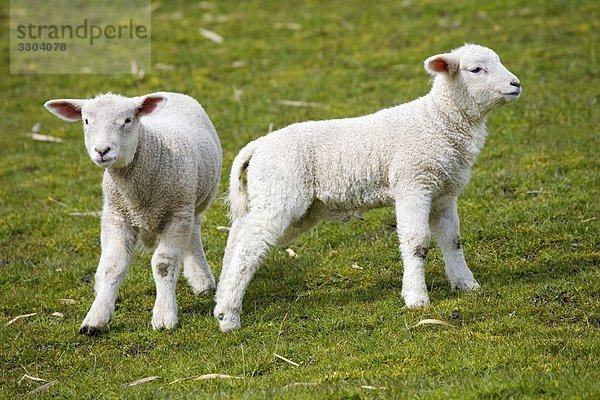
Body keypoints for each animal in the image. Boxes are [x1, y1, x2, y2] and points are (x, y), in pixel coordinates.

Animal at [44, 90, 223, 334]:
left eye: (127, 120)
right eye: (86, 121)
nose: (102, 151)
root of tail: (169, 92)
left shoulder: (177, 215)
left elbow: (163, 264)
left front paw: (164, 315)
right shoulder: (118, 217)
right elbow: (114, 265)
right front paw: (96, 317)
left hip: (196, 203)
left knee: (193, 233)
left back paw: (201, 279)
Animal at [214, 43, 520, 332]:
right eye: (476, 69)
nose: (516, 84)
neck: (436, 121)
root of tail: (257, 146)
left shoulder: (443, 193)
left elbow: (452, 239)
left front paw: (466, 284)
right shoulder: (413, 183)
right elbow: (417, 242)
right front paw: (416, 298)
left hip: (283, 203)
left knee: (239, 237)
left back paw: (220, 303)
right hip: (280, 194)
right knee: (249, 249)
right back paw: (229, 317)